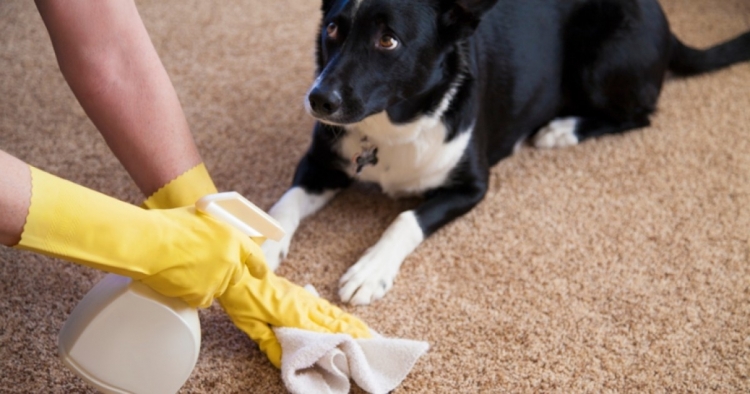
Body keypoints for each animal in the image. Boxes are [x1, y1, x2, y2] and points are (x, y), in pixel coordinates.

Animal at [262, 0, 750, 304]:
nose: (318, 99)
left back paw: (562, 129)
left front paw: (369, 271)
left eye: (388, 40)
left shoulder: (472, 187)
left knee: (641, 113)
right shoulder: (320, 164)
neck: (392, 129)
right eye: (332, 28)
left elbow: (405, 219)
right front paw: (261, 242)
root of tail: (662, 16)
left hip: (600, 65)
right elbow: (285, 204)